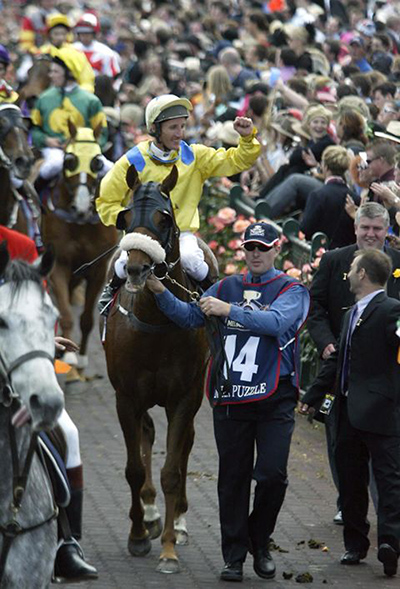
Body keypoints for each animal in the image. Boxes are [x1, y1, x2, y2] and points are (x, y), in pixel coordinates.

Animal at [41, 124, 117, 382]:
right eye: (69, 160)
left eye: (97, 162)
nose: (82, 206)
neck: (80, 223)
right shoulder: (58, 262)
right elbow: (64, 313)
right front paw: (68, 356)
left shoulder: (98, 268)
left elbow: (86, 319)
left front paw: (82, 361)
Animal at [101, 165, 211, 576]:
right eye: (125, 216)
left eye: (165, 218)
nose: (136, 268)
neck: (156, 323)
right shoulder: (126, 397)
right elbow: (135, 467)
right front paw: (137, 535)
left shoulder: (185, 397)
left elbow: (172, 471)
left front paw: (168, 549)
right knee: (147, 434)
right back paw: (149, 515)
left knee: (186, 445)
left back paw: (176, 522)